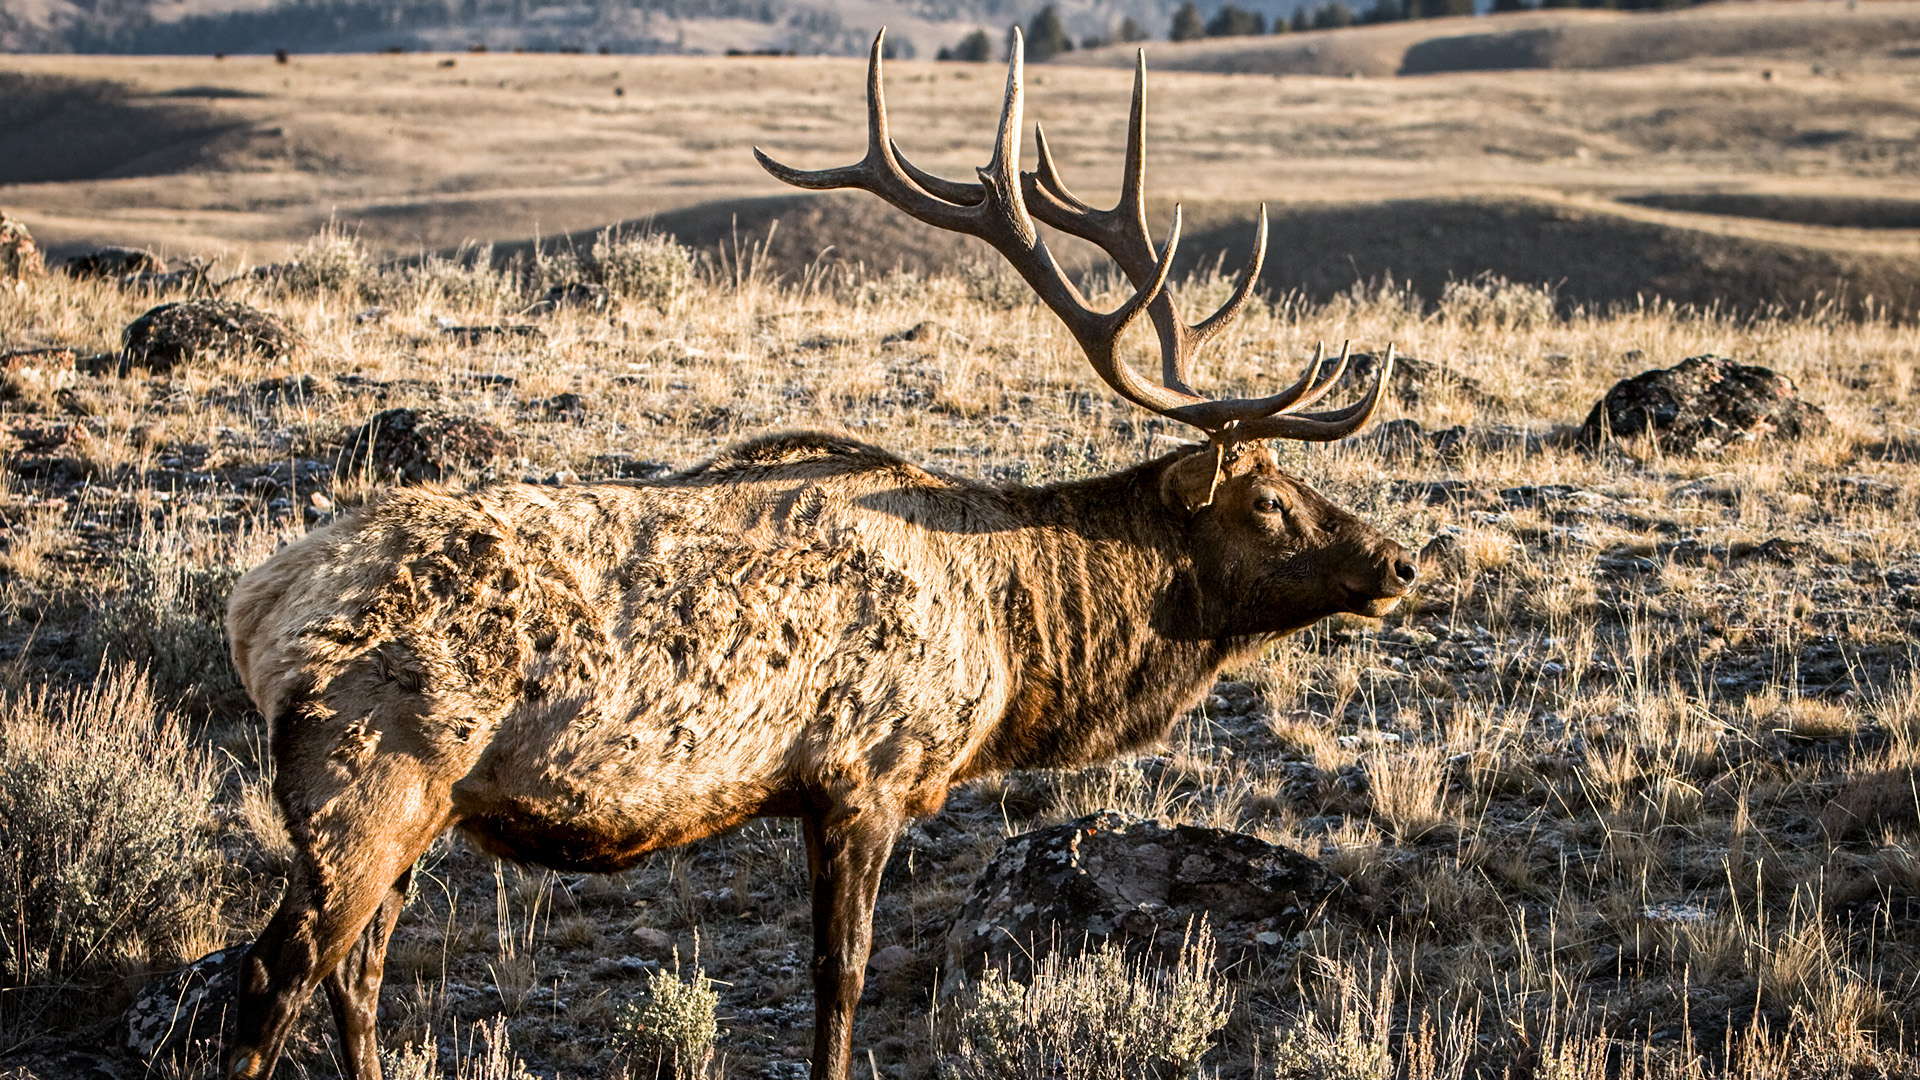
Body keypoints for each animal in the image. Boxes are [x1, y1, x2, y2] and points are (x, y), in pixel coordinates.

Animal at [222, 29, 1418, 1080]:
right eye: (1268, 500)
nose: (1399, 563)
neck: (1011, 647)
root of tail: (255, 609)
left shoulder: (811, 794)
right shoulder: (864, 773)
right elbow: (840, 977)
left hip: (424, 807)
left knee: (358, 974)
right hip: (368, 780)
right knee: (275, 973)